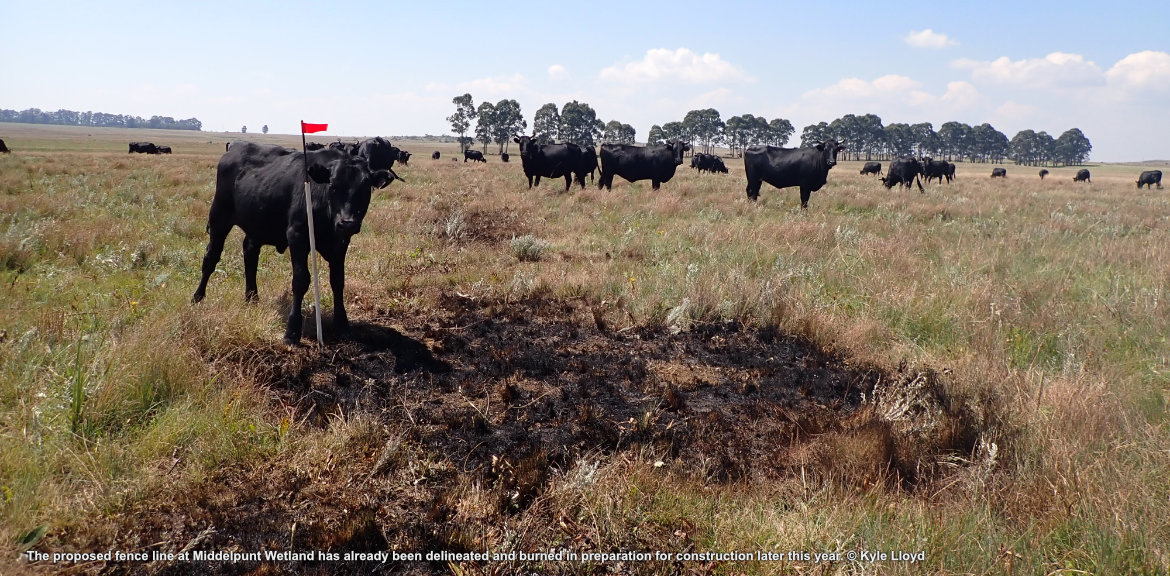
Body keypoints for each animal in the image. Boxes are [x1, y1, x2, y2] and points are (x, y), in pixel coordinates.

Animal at [193, 142, 402, 344]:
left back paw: (252, 298)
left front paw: (342, 325)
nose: (347, 222)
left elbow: (338, 281)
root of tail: (235, 147)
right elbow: (301, 280)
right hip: (219, 218)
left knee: (250, 256)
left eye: (365, 189)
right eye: (333, 186)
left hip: (256, 225)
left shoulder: (340, 243)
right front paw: (292, 331)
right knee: (211, 257)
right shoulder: (298, 236)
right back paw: (198, 298)